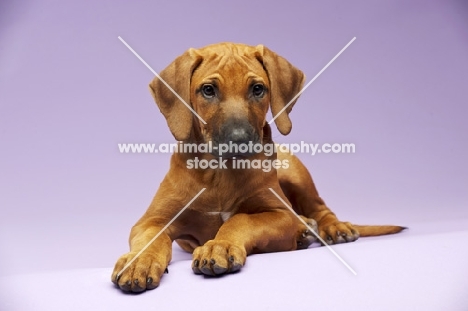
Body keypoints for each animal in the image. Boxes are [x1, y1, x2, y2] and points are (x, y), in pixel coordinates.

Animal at [110, 42, 406, 294]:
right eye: (208, 90)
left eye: (257, 89)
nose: (239, 140)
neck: (220, 172)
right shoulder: (151, 221)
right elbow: (152, 239)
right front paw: (139, 262)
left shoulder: (281, 214)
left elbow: (241, 219)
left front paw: (219, 245)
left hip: (294, 172)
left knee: (319, 208)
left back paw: (331, 228)